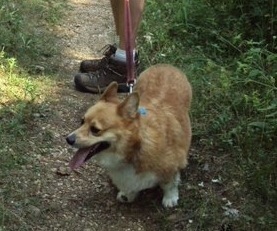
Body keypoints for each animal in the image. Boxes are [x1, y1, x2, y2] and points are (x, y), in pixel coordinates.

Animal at [66, 63, 191, 208]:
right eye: (82, 121)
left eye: (95, 130)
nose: (68, 139)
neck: (134, 149)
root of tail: (165, 65)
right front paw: (128, 195)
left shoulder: (171, 166)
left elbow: (169, 183)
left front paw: (170, 198)